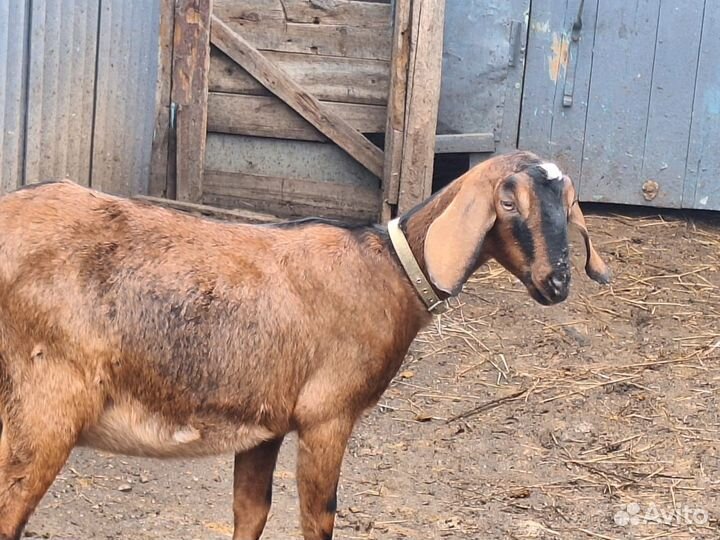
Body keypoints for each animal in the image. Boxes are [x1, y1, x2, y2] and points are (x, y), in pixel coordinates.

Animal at [0, 151, 609, 540]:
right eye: (507, 204)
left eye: (567, 205)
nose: (558, 283)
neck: (388, 270)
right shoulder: (326, 416)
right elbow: (319, 517)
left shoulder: (262, 423)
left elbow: (251, 512)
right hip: (43, 401)